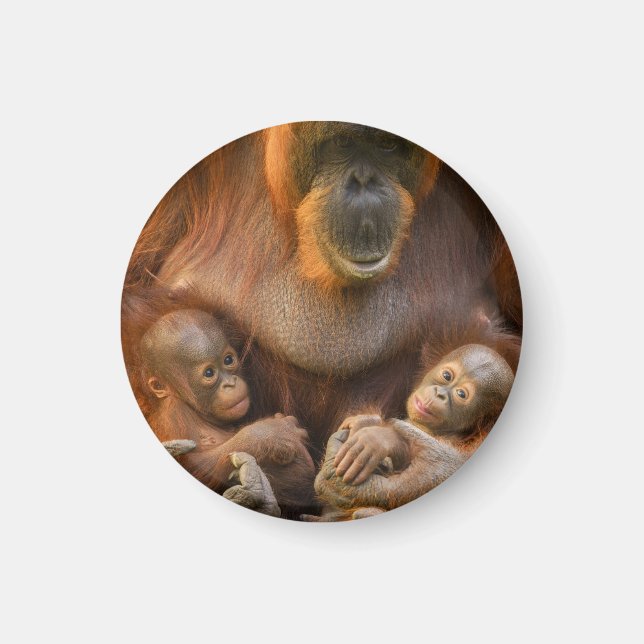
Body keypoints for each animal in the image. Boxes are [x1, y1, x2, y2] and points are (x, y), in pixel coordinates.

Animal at [140, 308, 316, 517]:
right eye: (209, 373)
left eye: (228, 360)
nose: (230, 384)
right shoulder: (174, 416)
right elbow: (197, 463)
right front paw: (272, 433)